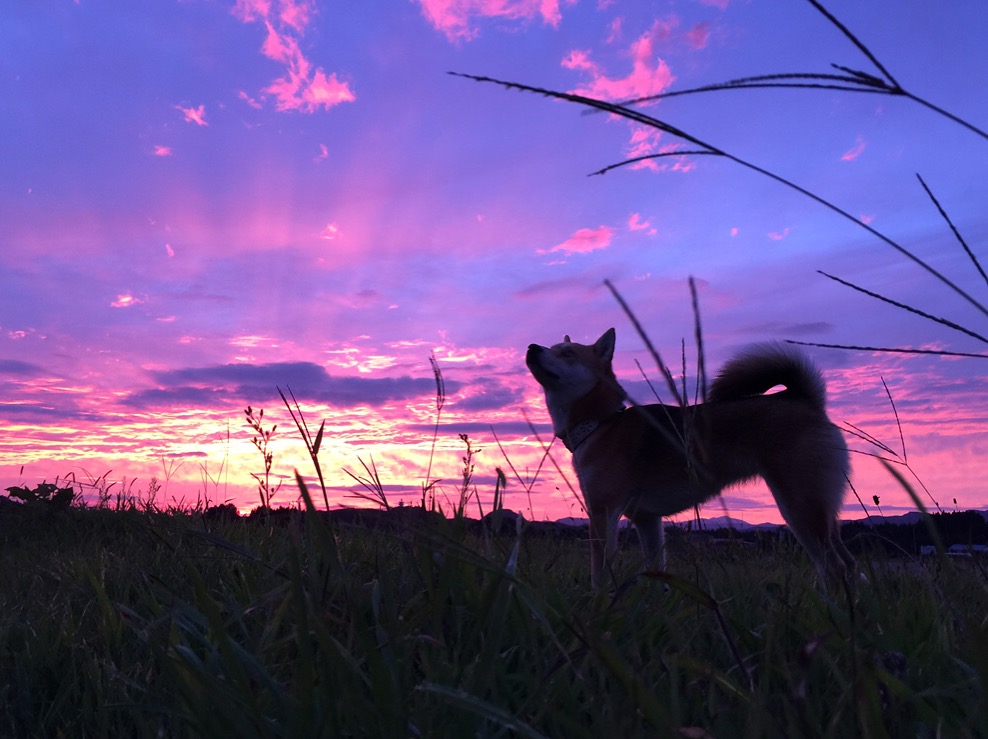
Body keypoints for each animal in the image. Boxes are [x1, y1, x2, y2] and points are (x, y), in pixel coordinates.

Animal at [524, 330, 856, 588]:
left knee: (834, 567)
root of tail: (803, 399)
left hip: (798, 506)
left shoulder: (602, 512)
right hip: (820, 510)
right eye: (552, 347)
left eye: (567, 353)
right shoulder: (647, 518)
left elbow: (599, 575)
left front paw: (599, 604)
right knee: (848, 565)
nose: (532, 347)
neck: (602, 423)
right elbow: (656, 570)